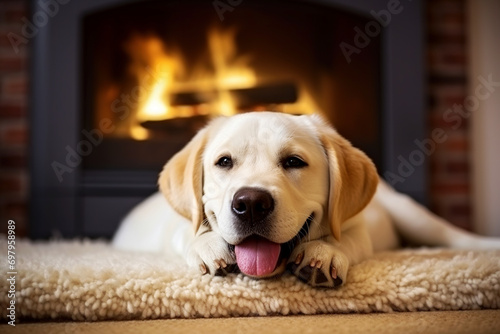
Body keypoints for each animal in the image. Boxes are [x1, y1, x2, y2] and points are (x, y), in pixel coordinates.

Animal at [113, 111, 500, 288]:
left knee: (449, 234)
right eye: (224, 162)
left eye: (293, 162)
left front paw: (323, 253)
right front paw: (207, 244)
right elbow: (189, 231)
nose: (250, 203)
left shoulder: (357, 228)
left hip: (408, 212)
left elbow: (346, 240)